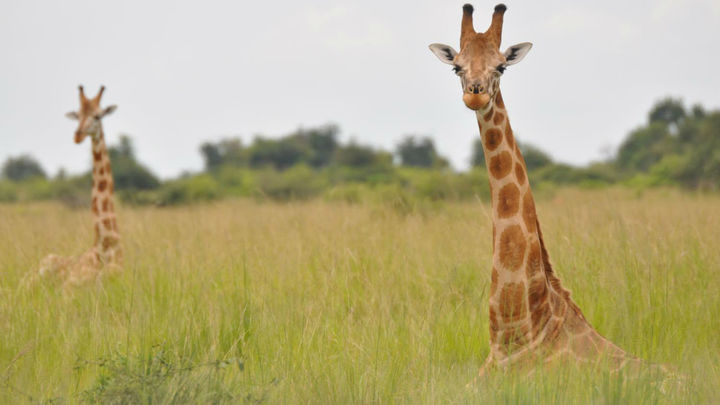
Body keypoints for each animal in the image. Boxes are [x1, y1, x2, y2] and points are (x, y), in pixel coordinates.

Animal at [29, 85, 122, 289]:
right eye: (78, 115)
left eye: (98, 116)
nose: (77, 135)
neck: (106, 245)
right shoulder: (69, 288)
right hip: (36, 273)